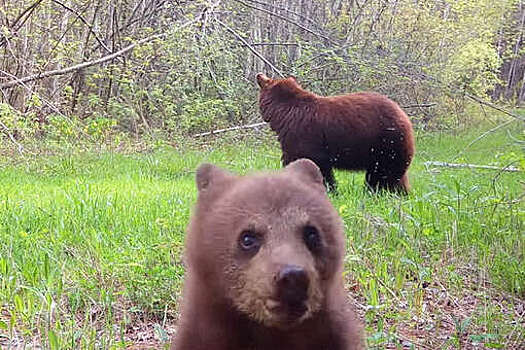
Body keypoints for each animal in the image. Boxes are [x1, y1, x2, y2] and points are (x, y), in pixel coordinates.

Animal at [256, 73, 416, 193]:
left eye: (268, 80)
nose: (259, 74)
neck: (283, 114)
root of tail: (405, 117)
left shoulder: (303, 135)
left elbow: (310, 161)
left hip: (386, 143)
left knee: (382, 174)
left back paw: (375, 191)